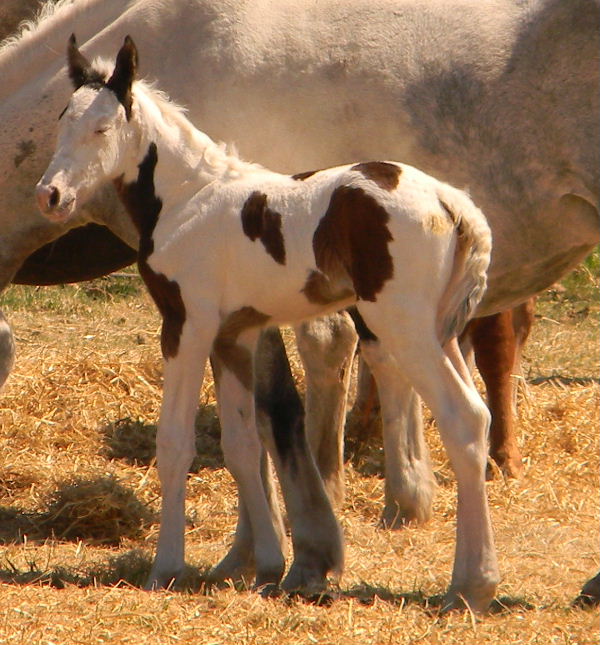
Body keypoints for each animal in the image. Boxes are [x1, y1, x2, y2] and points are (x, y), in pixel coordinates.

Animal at [1, 0, 598, 607]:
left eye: (102, 128)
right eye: (60, 122)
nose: (51, 196)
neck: (192, 196)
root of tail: (454, 204)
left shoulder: (187, 324)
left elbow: (180, 442)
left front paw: (169, 568)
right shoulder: (235, 334)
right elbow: (244, 443)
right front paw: (263, 564)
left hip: (402, 325)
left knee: (462, 417)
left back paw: (469, 585)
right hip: (440, 330)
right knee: (471, 407)